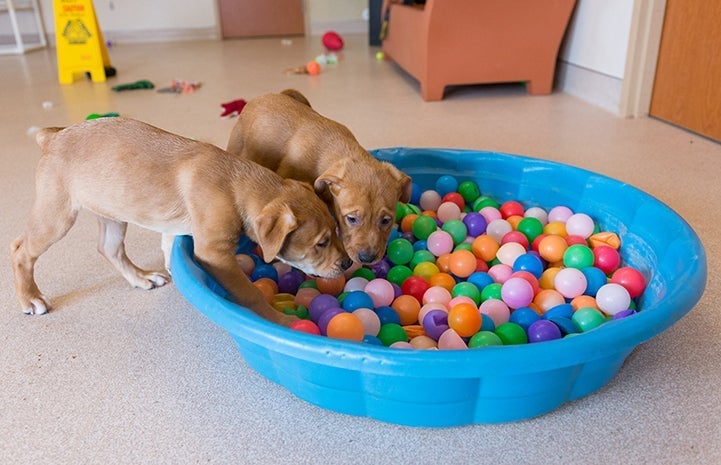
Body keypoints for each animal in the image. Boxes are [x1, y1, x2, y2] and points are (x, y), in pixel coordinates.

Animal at [9, 118, 350, 324]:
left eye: (337, 230)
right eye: (321, 243)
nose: (348, 264)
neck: (237, 183)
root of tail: (54, 136)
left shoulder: (176, 229)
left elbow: (168, 242)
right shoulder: (213, 253)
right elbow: (249, 292)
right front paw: (278, 319)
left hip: (112, 212)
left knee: (109, 249)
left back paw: (141, 278)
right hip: (56, 215)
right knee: (20, 250)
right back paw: (31, 298)